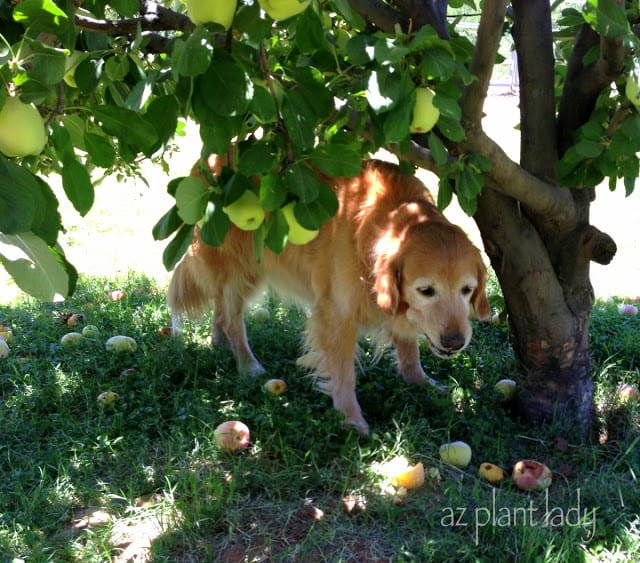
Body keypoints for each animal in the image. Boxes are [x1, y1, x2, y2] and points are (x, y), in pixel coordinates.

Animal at [166, 156, 490, 434]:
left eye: (467, 290)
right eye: (426, 290)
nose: (454, 342)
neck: (388, 217)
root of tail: (207, 161)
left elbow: (408, 348)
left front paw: (420, 382)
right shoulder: (338, 314)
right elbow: (344, 372)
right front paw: (351, 419)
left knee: (220, 310)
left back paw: (219, 343)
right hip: (240, 269)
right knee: (233, 319)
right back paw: (247, 364)